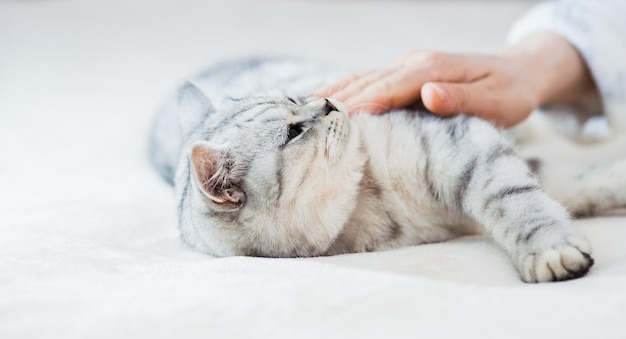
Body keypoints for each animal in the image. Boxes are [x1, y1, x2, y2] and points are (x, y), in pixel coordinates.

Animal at [150, 56, 624, 284]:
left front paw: (551, 249)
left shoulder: (467, 143)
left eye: (294, 98)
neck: (371, 196)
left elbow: (525, 200)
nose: (328, 100)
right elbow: (551, 190)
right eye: (293, 130)